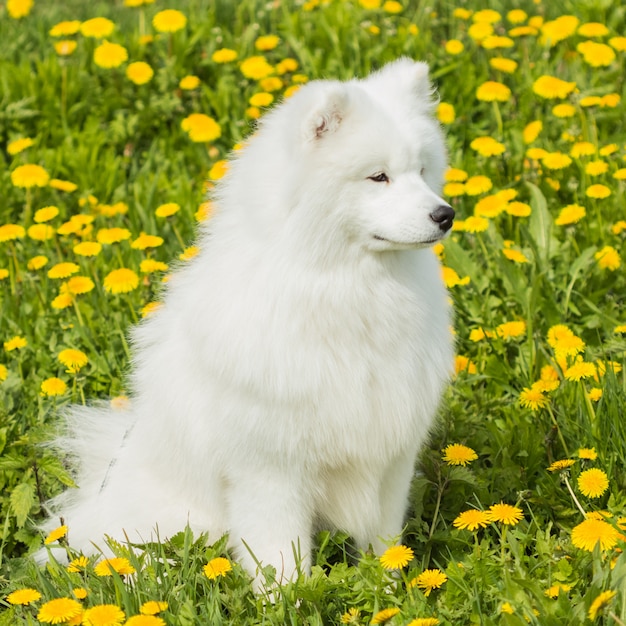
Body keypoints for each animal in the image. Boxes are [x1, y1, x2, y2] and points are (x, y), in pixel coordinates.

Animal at [45, 58, 454, 584]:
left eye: (422, 171)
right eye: (378, 177)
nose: (445, 214)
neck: (342, 286)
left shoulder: (390, 454)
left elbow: (385, 541)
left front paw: (391, 587)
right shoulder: (270, 467)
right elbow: (280, 554)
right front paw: (289, 595)